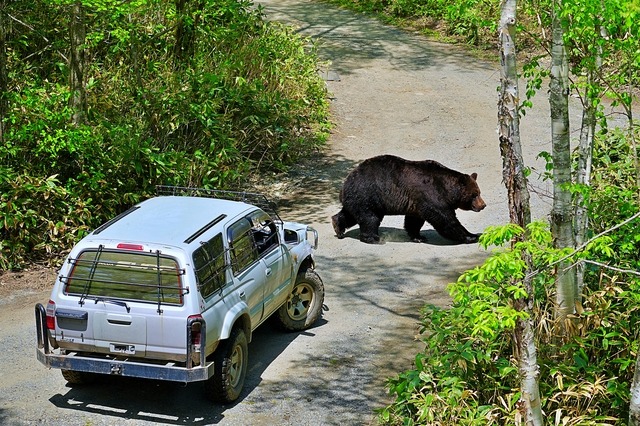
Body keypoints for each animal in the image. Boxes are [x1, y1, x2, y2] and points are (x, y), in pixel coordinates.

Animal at [331, 155, 486, 244]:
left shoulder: (417, 202)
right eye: (474, 194)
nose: (483, 205)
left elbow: (414, 221)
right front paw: (472, 236)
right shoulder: (431, 195)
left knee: (350, 214)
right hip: (368, 195)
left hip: (360, 199)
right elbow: (446, 220)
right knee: (370, 218)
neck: (446, 189)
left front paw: (418, 237)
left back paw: (338, 227)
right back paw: (373, 238)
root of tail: (345, 184)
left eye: (479, 192)